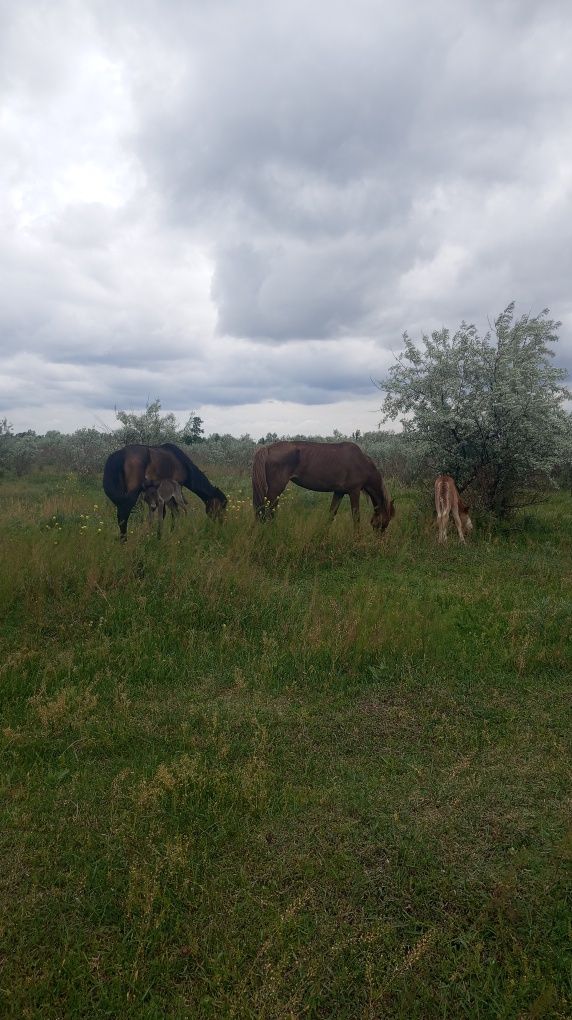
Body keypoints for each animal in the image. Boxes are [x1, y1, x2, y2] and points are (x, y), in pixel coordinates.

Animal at [251, 440, 395, 534]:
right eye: (386, 521)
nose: (380, 540)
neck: (362, 463)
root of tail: (267, 448)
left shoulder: (339, 492)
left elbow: (331, 515)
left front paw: (323, 536)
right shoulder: (354, 492)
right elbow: (356, 517)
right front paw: (357, 539)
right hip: (276, 488)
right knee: (268, 511)